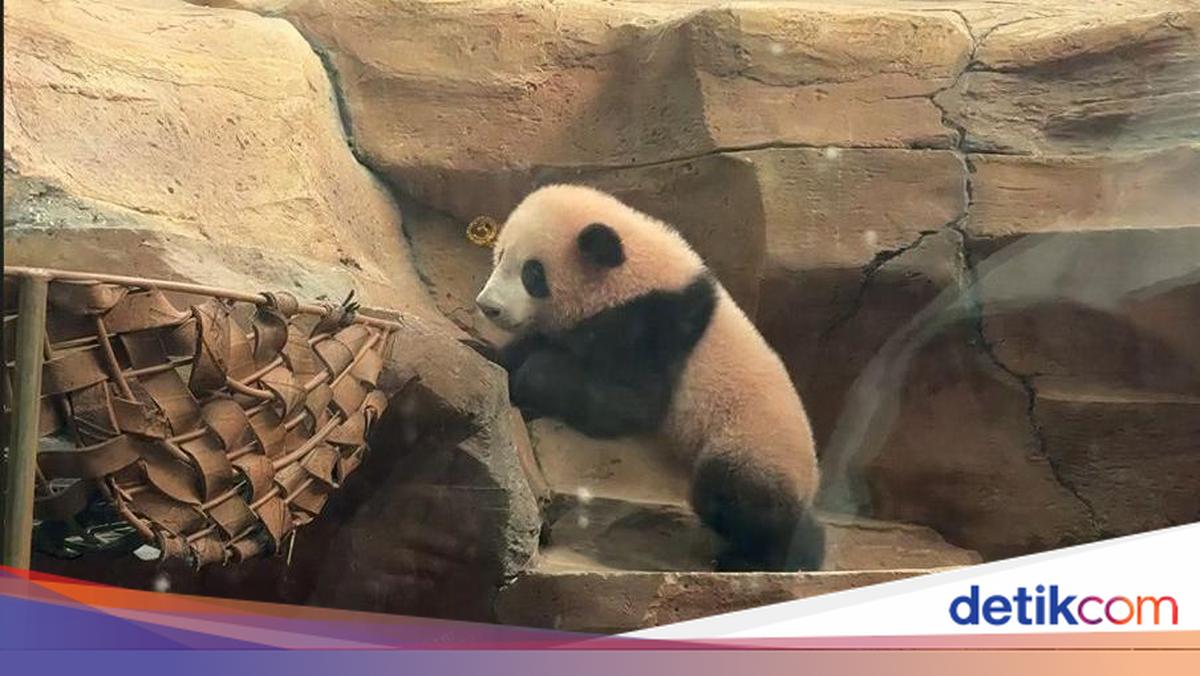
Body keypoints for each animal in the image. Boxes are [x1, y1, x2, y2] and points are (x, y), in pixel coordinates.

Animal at [474, 184, 824, 571]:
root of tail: (810, 482)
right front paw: (487, 352)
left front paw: (531, 378)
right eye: (500, 255)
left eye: (532, 273)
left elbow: (629, 404)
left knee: (733, 496)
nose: (488, 306)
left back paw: (758, 557)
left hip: (751, 443)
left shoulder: (656, 326)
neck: (632, 274)